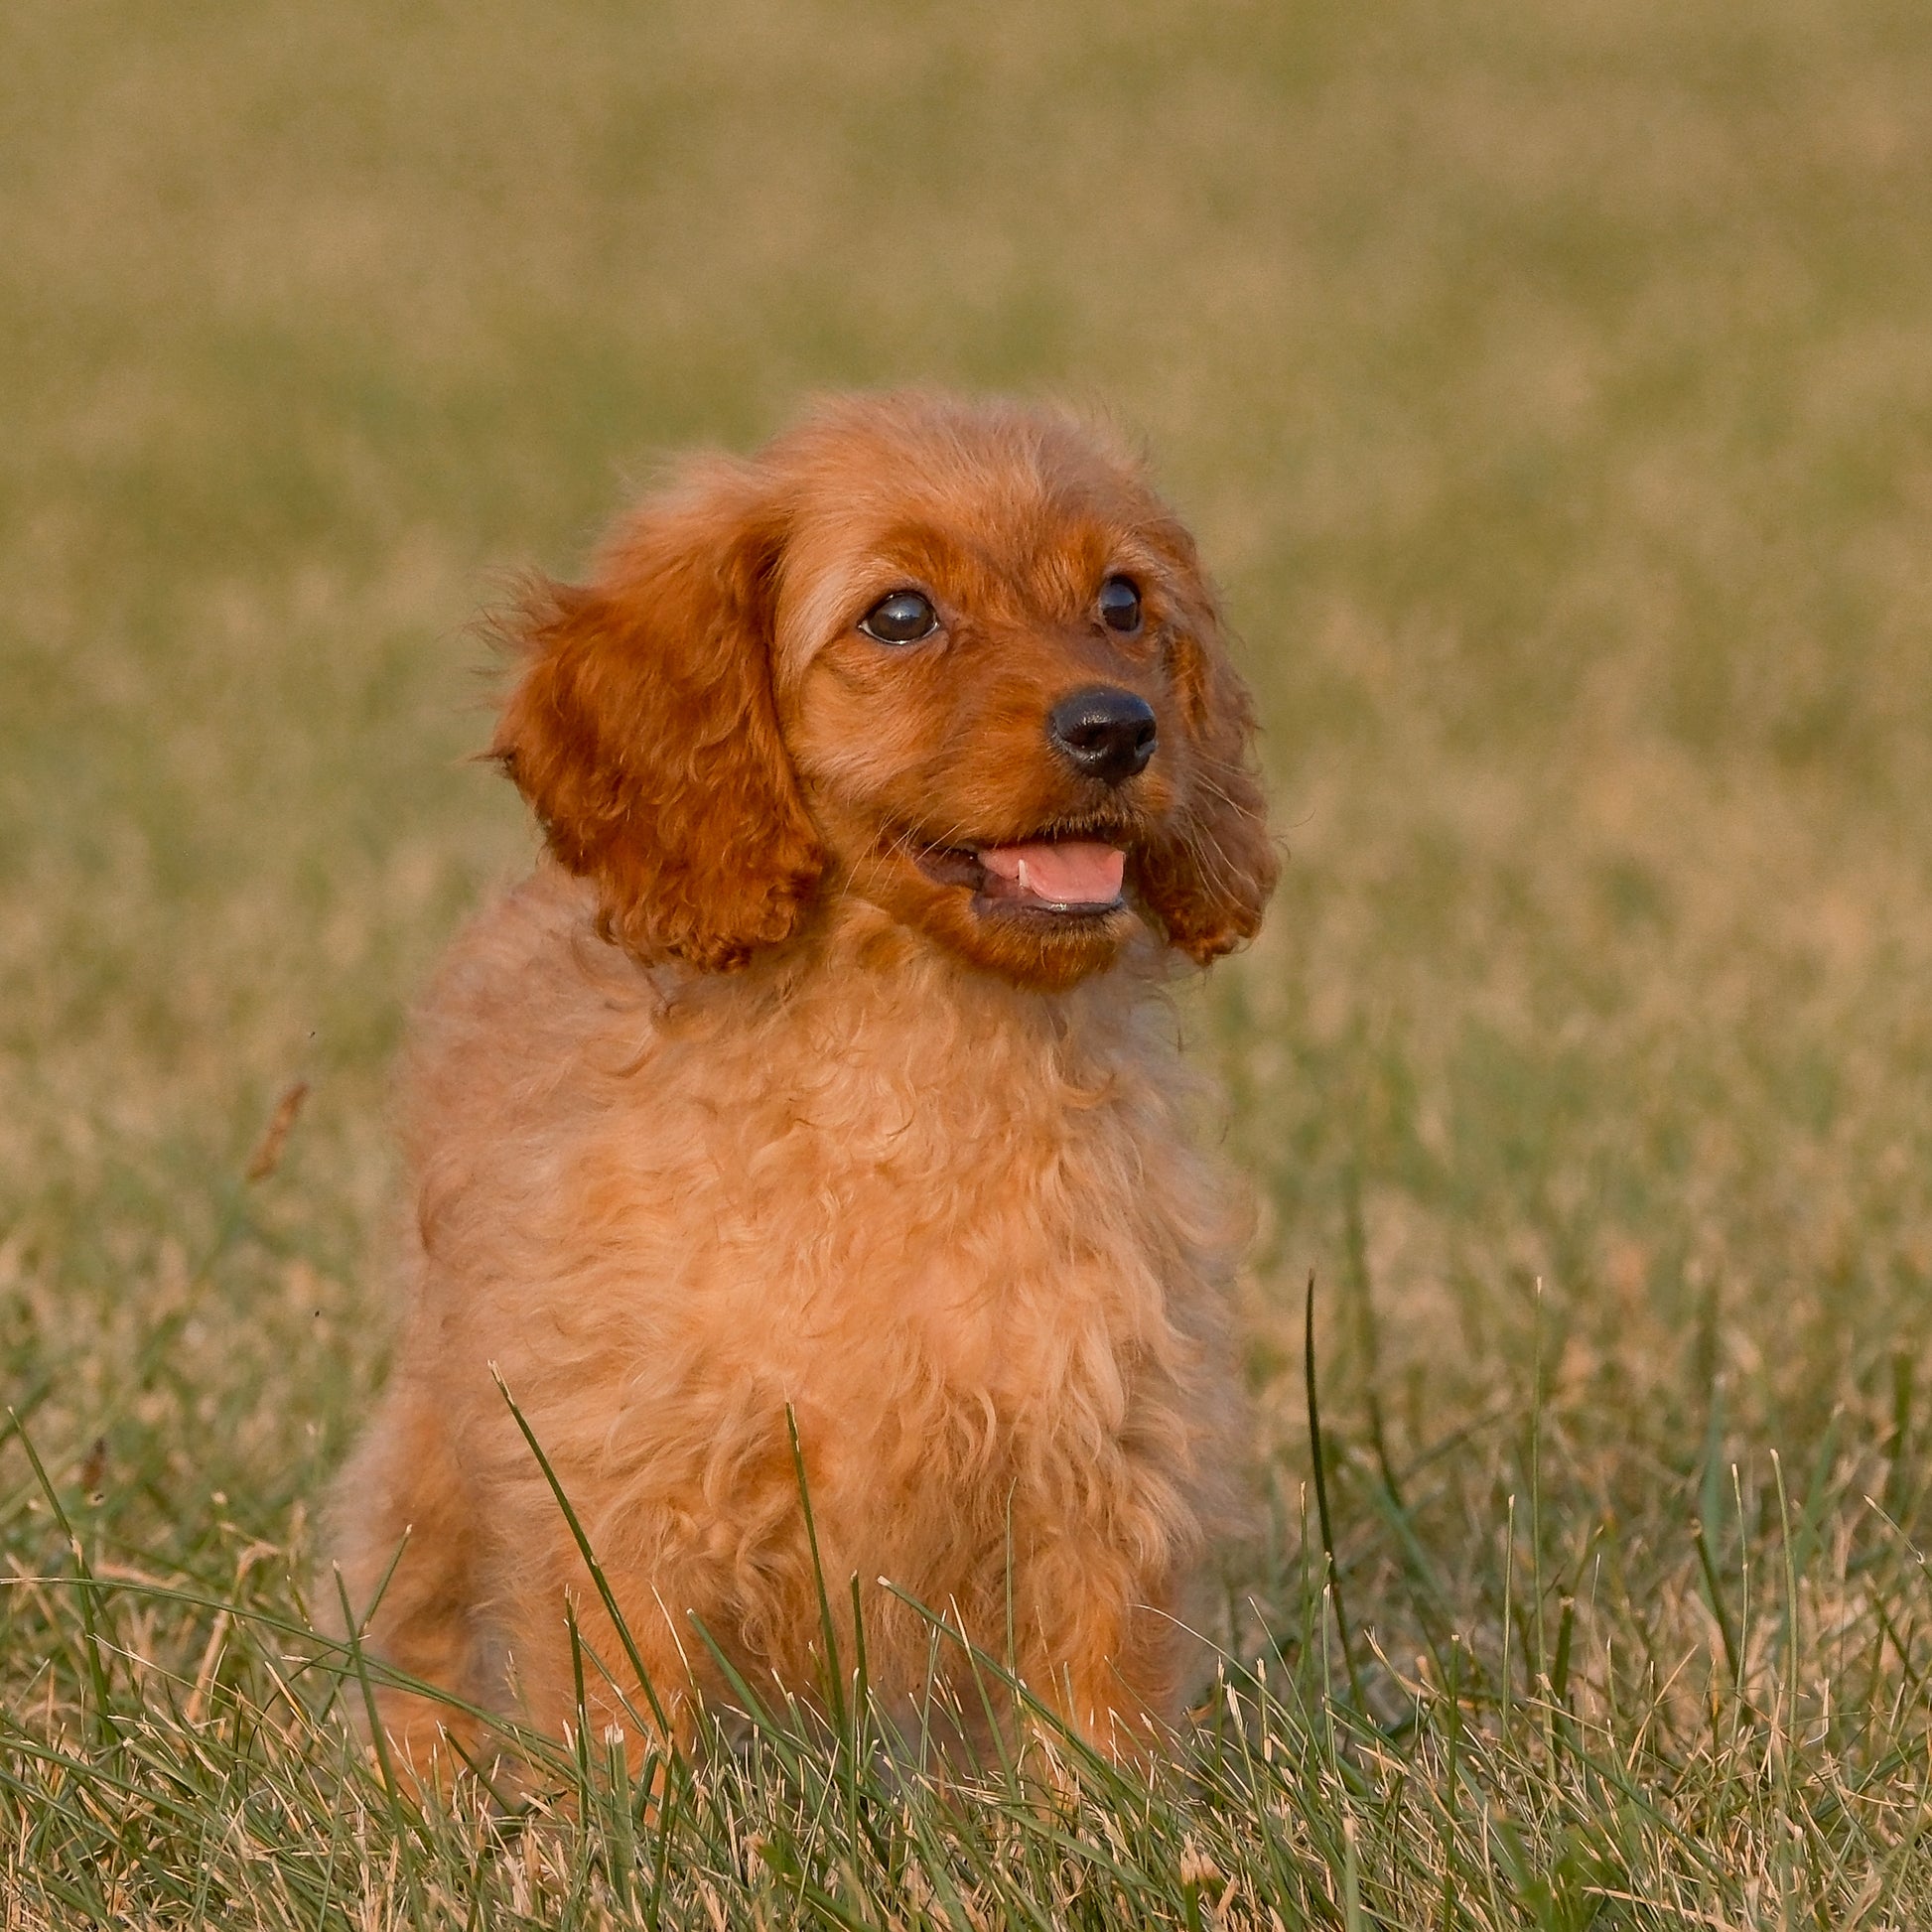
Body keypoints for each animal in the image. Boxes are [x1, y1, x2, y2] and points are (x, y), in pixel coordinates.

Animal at [324, 388, 1275, 1777]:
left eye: (1119, 600)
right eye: (900, 615)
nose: (1117, 728)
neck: (908, 1060)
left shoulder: (1106, 1451)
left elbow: (1095, 1714)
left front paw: (1112, 1823)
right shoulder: (623, 1480)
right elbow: (629, 1709)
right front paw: (623, 1827)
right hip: (439, 1451)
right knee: (421, 1622)